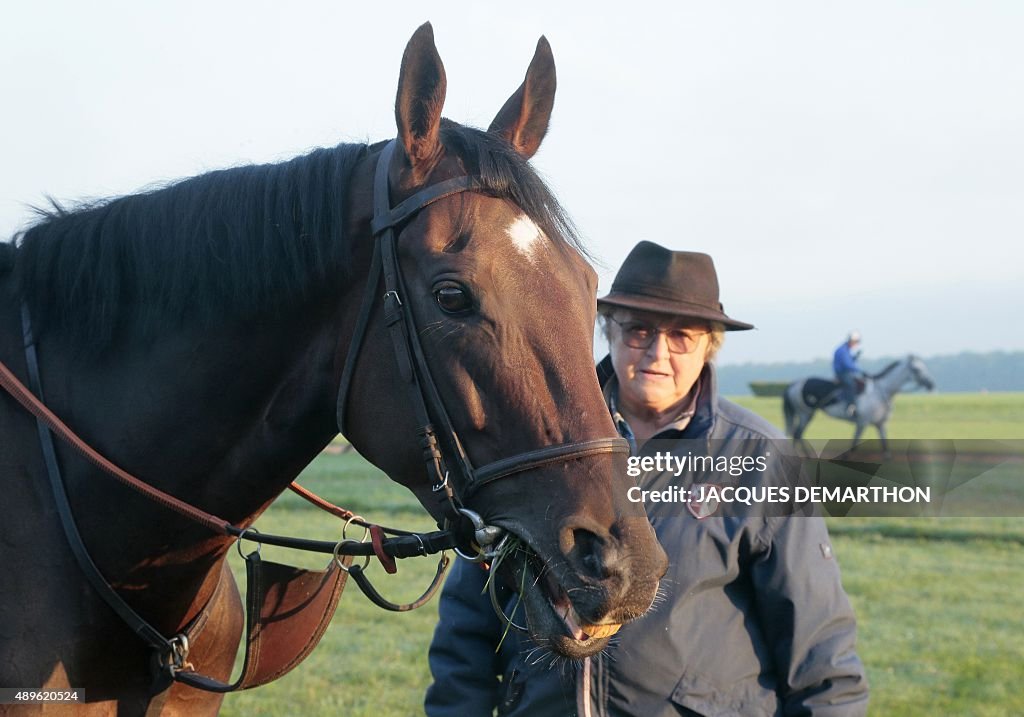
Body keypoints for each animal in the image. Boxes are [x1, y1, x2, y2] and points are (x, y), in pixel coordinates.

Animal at [782, 356, 937, 450]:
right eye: (916, 369)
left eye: (924, 367)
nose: (931, 384)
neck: (881, 391)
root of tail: (794, 384)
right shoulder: (862, 423)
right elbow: (854, 444)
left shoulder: (881, 425)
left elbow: (886, 448)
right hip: (805, 413)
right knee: (797, 434)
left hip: (806, 414)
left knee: (797, 435)